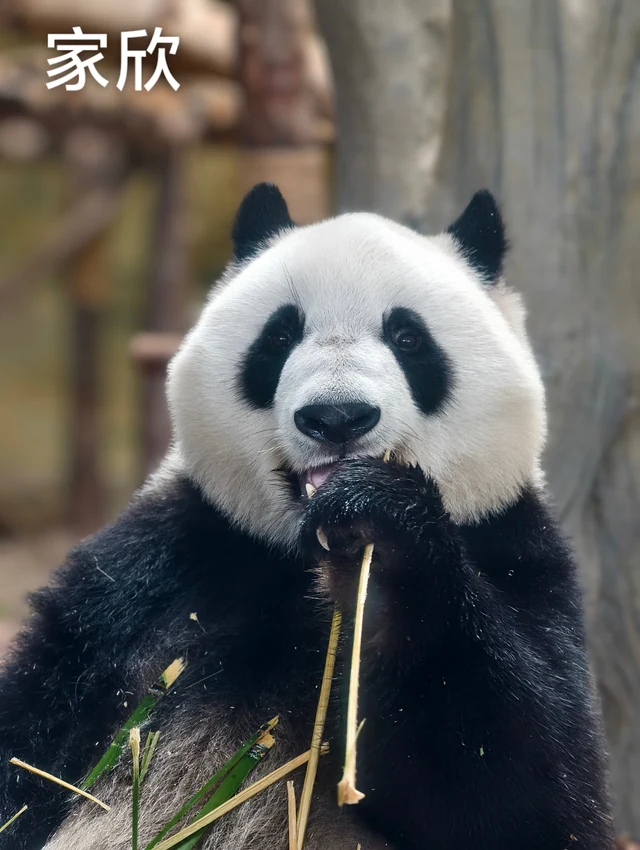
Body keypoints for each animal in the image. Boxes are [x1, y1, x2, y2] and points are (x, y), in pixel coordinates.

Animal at [0, 183, 614, 850]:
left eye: (408, 337)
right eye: (279, 336)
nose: (337, 417)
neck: (300, 552)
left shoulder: (515, 551)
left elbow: (521, 790)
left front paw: (380, 544)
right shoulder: (152, 574)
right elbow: (35, 738)